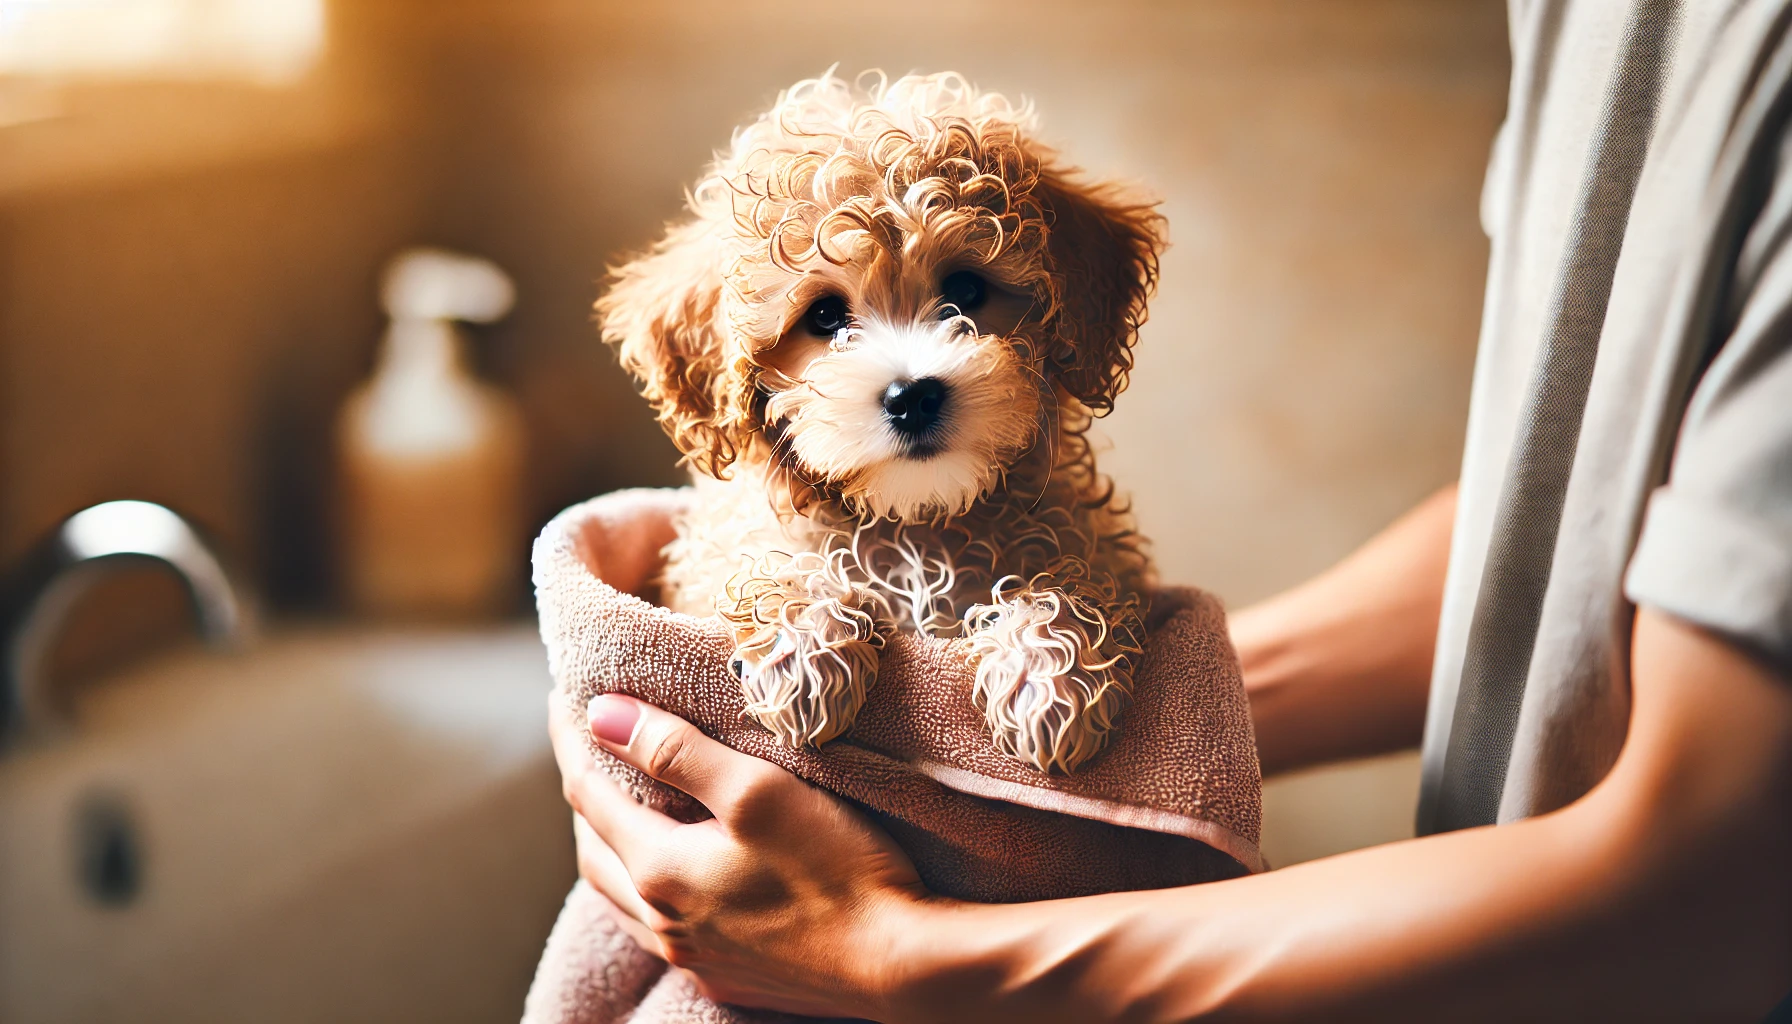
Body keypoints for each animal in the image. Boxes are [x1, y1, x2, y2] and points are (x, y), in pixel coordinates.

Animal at [602, 69, 1161, 778]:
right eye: (823, 316)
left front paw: (1047, 674)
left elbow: (1071, 581)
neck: (915, 525)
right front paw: (802, 648)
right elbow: (774, 555)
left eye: (967, 290)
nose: (913, 396)